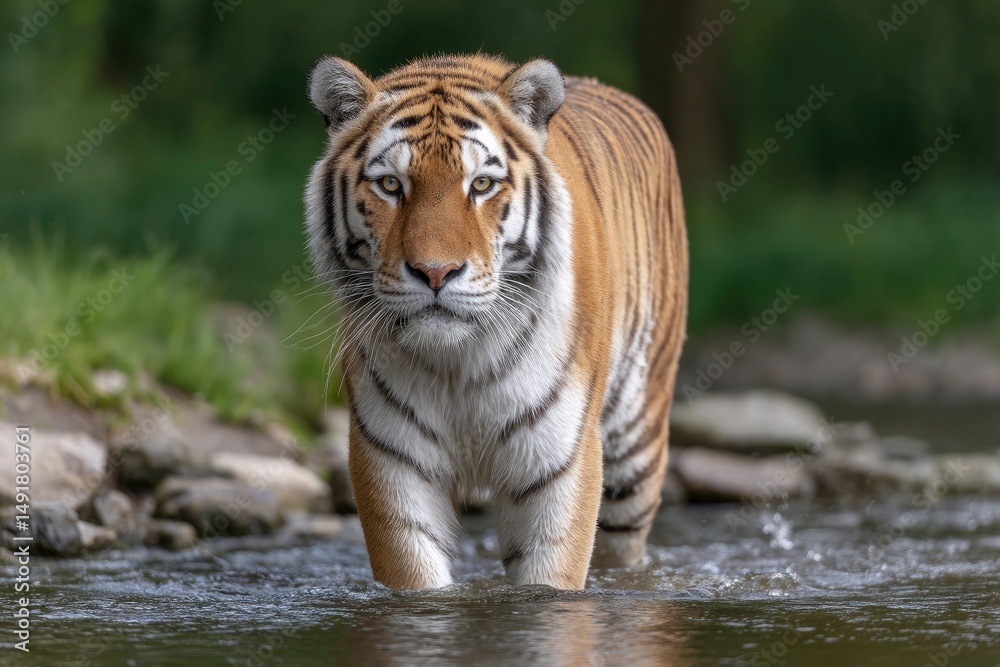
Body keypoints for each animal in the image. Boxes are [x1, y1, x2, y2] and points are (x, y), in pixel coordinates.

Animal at [304, 54, 687, 590]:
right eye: (390, 185)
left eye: (481, 184)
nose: (436, 272)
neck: (458, 363)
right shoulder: (392, 458)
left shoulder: (560, 459)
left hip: (635, 455)